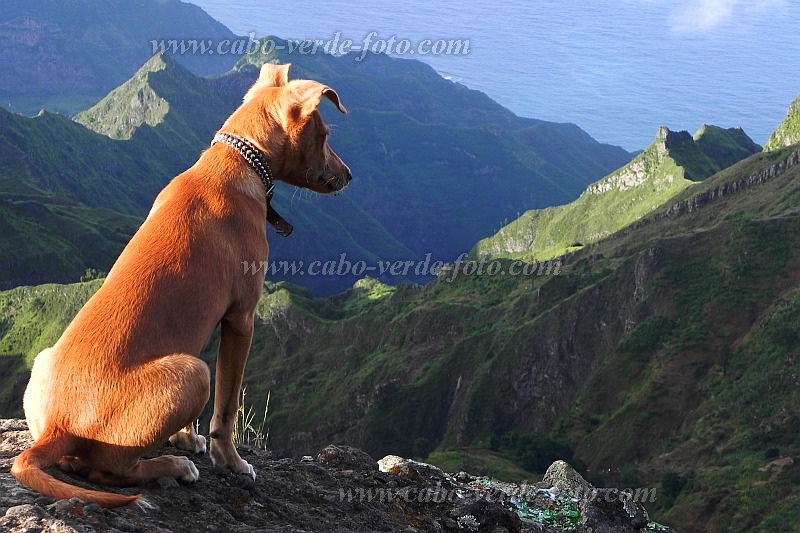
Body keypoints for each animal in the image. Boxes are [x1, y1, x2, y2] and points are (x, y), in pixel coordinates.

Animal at [8, 62, 346, 508]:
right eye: (324, 135)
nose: (349, 175)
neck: (232, 162)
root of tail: (59, 428)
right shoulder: (241, 319)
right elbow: (226, 409)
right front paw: (232, 461)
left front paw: (184, 437)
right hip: (194, 373)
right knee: (108, 470)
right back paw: (171, 467)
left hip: (45, 361)